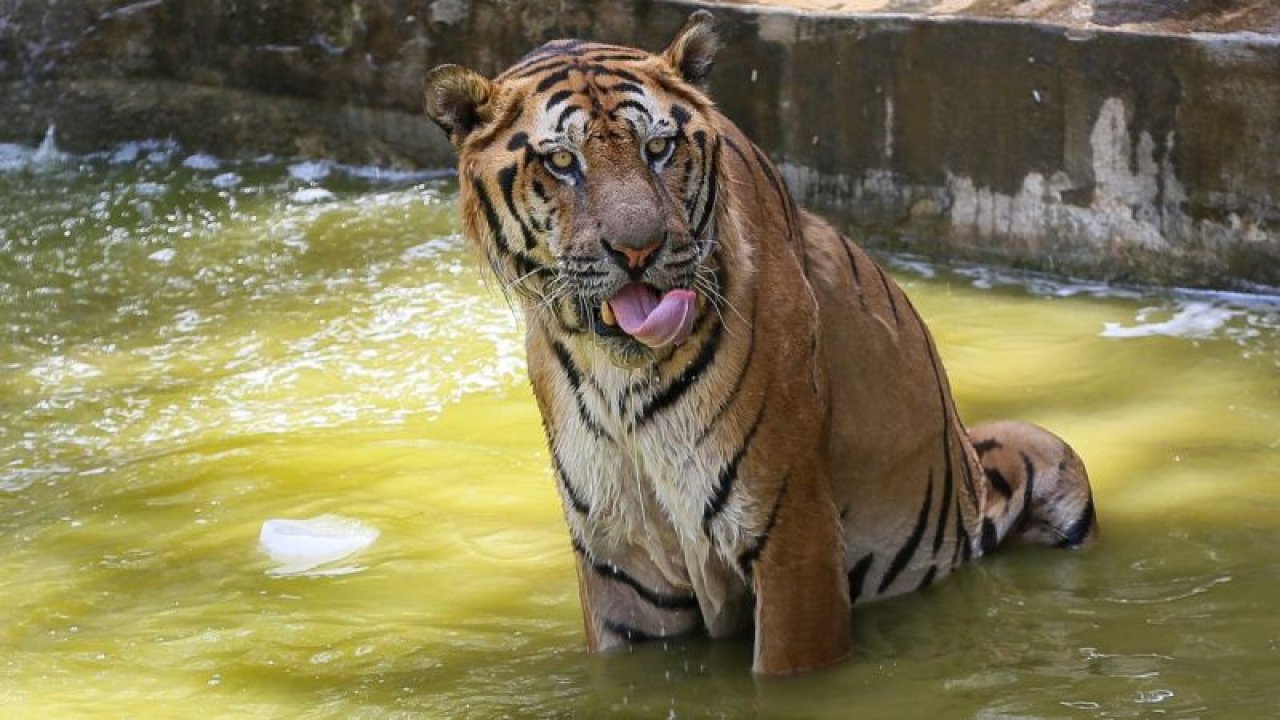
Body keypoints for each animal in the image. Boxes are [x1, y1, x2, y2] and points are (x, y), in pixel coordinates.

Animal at [422, 9, 1100, 671]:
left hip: (1043, 451)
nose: (639, 251)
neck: (617, 378)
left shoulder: (790, 528)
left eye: (659, 148)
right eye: (562, 162)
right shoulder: (621, 561)